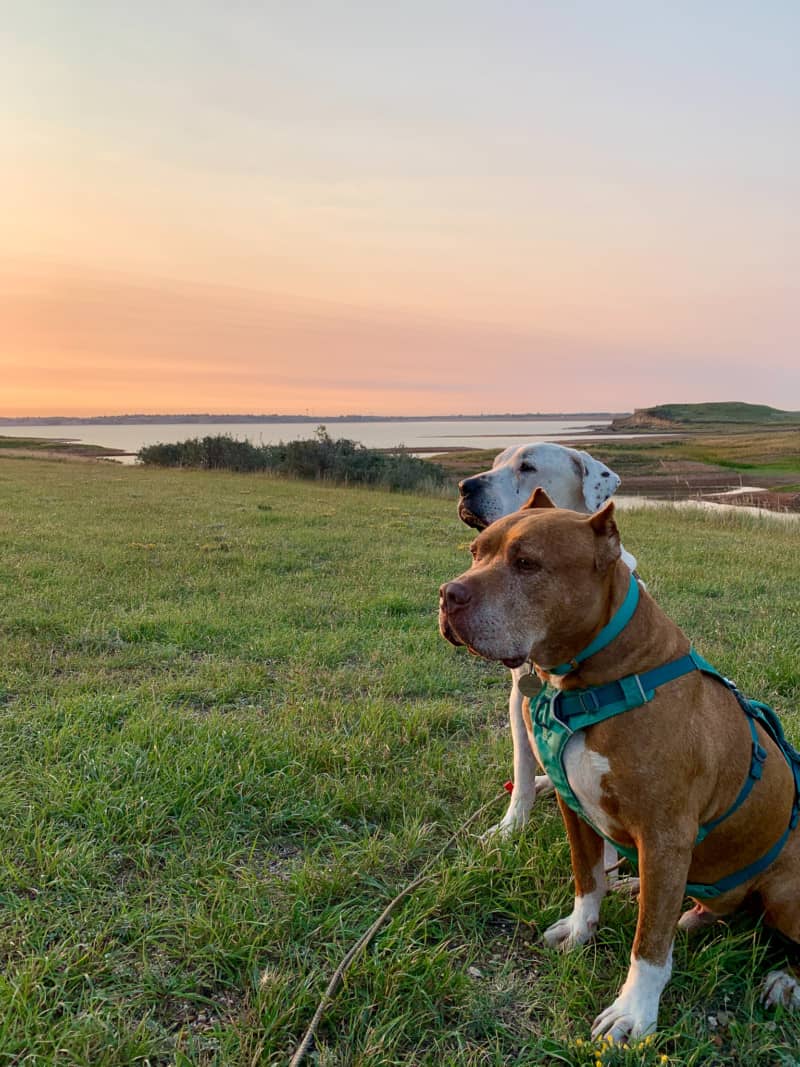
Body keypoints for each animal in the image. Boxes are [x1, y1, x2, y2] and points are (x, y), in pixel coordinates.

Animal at [441, 495, 797, 1037]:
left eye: (526, 563)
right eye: (475, 552)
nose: (447, 594)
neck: (596, 677)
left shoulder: (665, 835)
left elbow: (649, 943)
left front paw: (634, 1010)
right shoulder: (575, 807)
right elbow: (588, 879)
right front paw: (581, 929)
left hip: (784, 889)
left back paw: (784, 980)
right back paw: (655, 897)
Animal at [460, 439, 635, 832]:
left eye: (527, 467)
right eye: (494, 462)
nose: (465, 486)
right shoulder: (518, 701)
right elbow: (522, 770)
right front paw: (511, 826)